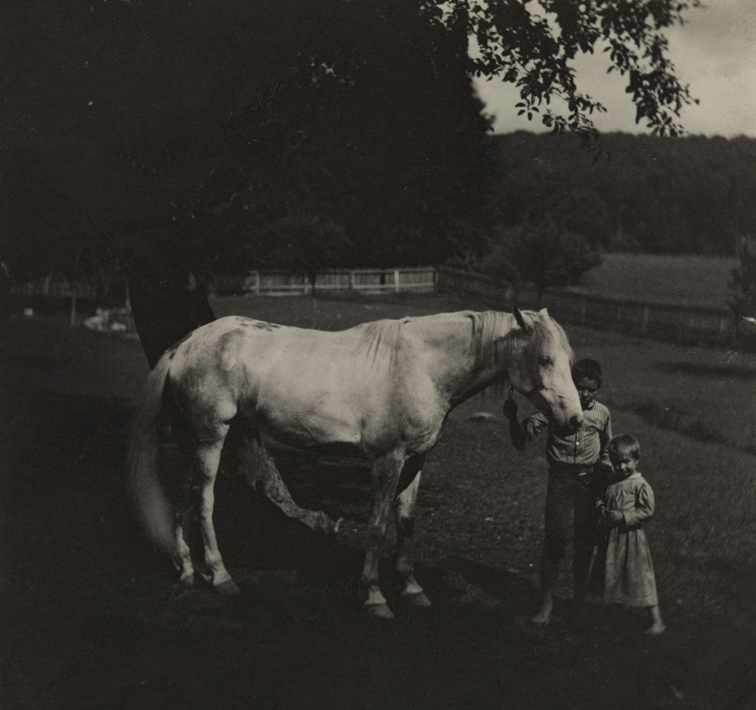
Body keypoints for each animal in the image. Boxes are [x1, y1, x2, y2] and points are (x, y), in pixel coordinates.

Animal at [127, 306, 582, 619]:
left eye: (568, 360)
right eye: (544, 360)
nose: (575, 419)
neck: (421, 367)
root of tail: (186, 344)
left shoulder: (415, 461)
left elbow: (406, 523)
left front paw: (412, 589)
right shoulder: (387, 461)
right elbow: (378, 525)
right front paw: (374, 596)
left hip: (196, 438)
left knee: (184, 495)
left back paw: (187, 568)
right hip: (212, 436)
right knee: (204, 500)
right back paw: (220, 576)